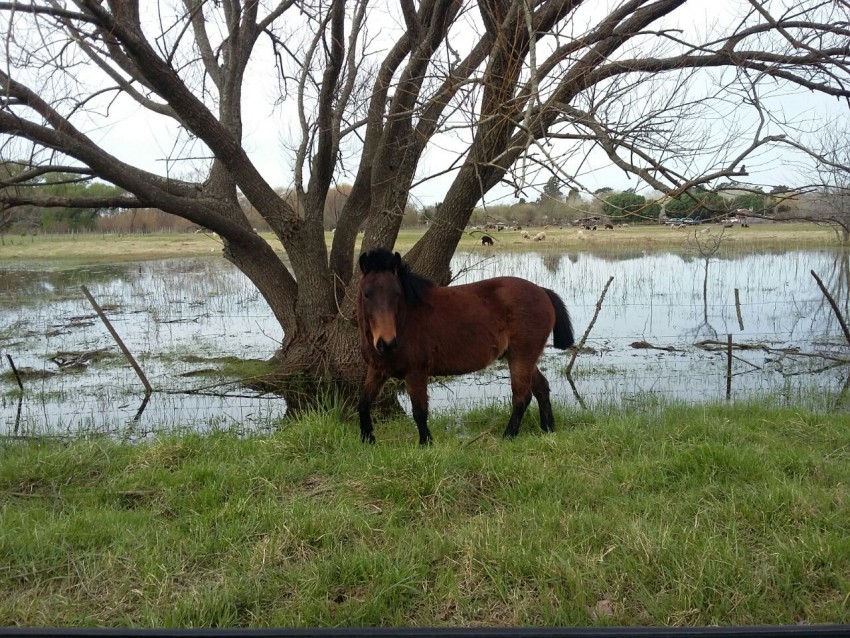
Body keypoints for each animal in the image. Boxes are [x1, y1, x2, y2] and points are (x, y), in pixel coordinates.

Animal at [354, 248, 572, 448]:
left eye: (397, 294)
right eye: (366, 294)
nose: (386, 343)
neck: (405, 320)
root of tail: (542, 291)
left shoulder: (416, 372)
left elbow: (419, 411)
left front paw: (425, 445)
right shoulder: (377, 370)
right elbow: (363, 403)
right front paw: (367, 440)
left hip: (521, 356)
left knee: (522, 396)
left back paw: (508, 436)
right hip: (520, 357)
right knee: (541, 388)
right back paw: (548, 430)